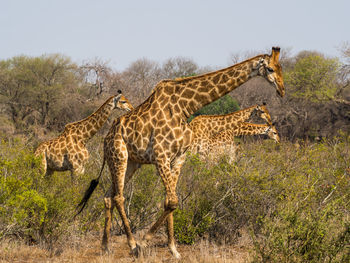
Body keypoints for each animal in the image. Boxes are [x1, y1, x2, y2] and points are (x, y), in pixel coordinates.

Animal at [76, 46, 284, 258]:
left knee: (109, 195)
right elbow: (173, 201)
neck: (184, 107)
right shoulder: (161, 156)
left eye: (280, 67)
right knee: (119, 196)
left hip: (132, 163)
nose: (282, 90)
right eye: (270, 69)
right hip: (119, 157)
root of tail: (106, 138)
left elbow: (170, 201)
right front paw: (144, 242)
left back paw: (105, 246)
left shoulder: (178, 158)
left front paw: (173, 249)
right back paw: (132, 244)